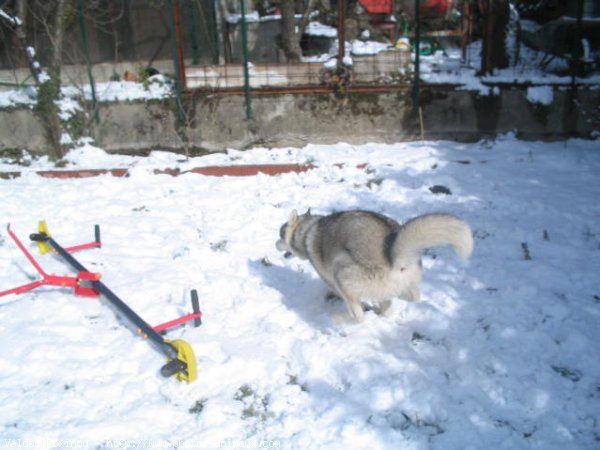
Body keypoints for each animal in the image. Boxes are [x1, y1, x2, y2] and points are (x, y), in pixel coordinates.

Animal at [276, 209, 474, 322]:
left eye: (280, 234)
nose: (275, 244)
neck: (306, 231)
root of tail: (391, 256)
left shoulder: (328, 278)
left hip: (341, 269)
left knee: (359, 315)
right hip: (407, 282)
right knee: (411, 297)